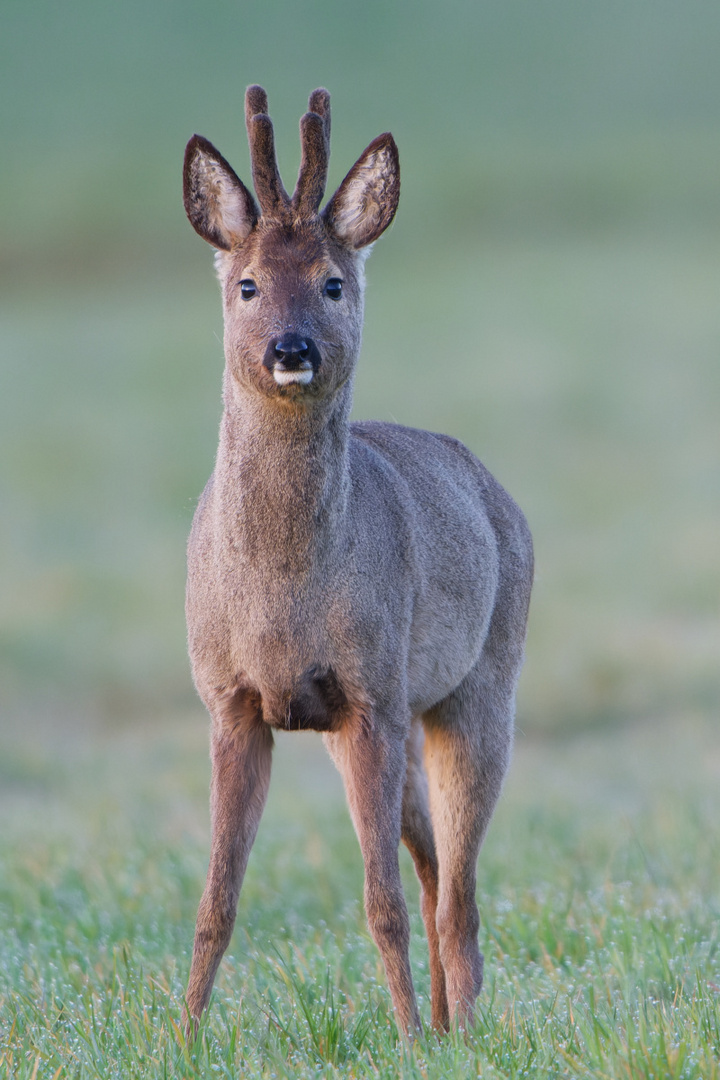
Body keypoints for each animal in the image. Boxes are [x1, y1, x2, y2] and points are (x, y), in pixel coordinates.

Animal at [183, 86, 533, 1036]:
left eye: (332, 282)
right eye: (247, 283)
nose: (290, 348)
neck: (282, 589)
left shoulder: (371, 692)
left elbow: (381, 903)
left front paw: (406, 1039)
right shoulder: (232, 700)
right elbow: (216, 900)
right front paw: (180, 1037)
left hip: (479, 686)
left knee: (457, 889)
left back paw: (461, 1028)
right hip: (383, 723)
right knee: (434, 866)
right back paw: (451, 1023)